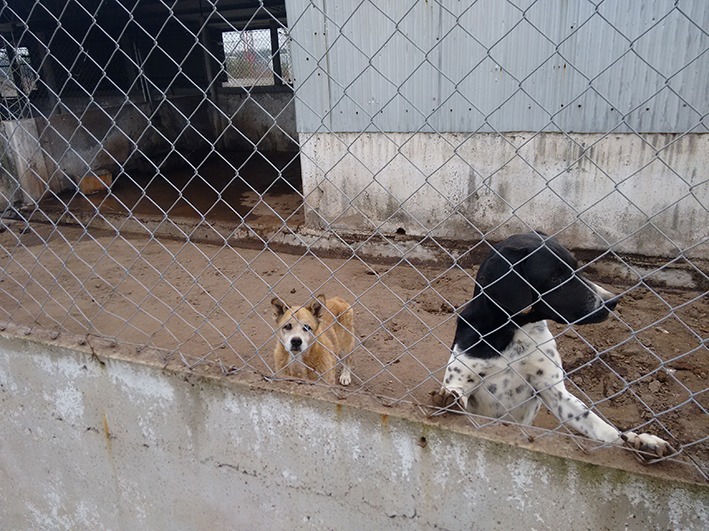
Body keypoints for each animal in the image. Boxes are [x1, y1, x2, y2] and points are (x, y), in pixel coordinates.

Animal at [432, 231, 676, 460]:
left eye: (575, 268)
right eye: (554, 276)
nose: (612, 301)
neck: (512, 330)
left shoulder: (551, 388)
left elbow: (597, 423)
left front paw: (638, 439)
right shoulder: (463, 376)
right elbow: (455, 391)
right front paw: (449, 398)